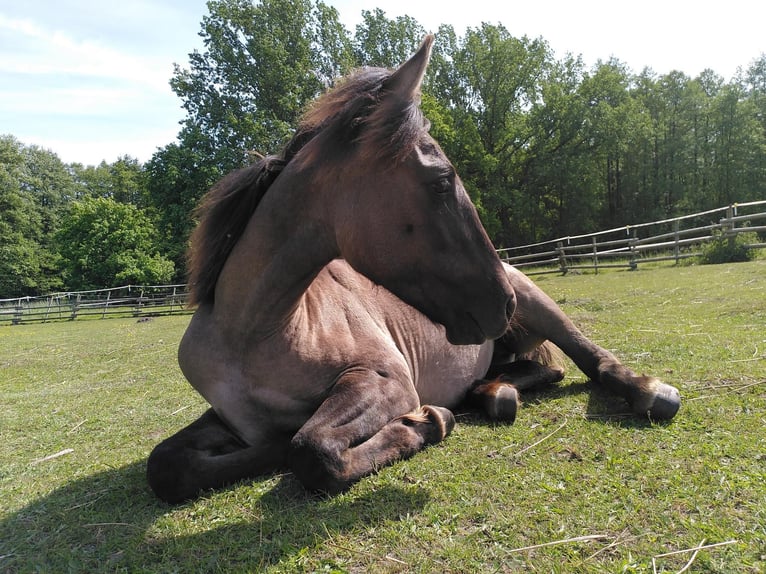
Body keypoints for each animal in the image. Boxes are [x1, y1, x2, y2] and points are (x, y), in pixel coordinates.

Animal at [147, 36, 680, 504]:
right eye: (442, 180)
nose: (502, 303)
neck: (254, 332)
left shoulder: (385, 380)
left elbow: (311, 450)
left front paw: (425, 423)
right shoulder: (228, 419)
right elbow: (168, 465)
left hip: (542, 306)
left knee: (590, 357)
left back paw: (648, 392)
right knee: (535, 372)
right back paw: (495, 395)